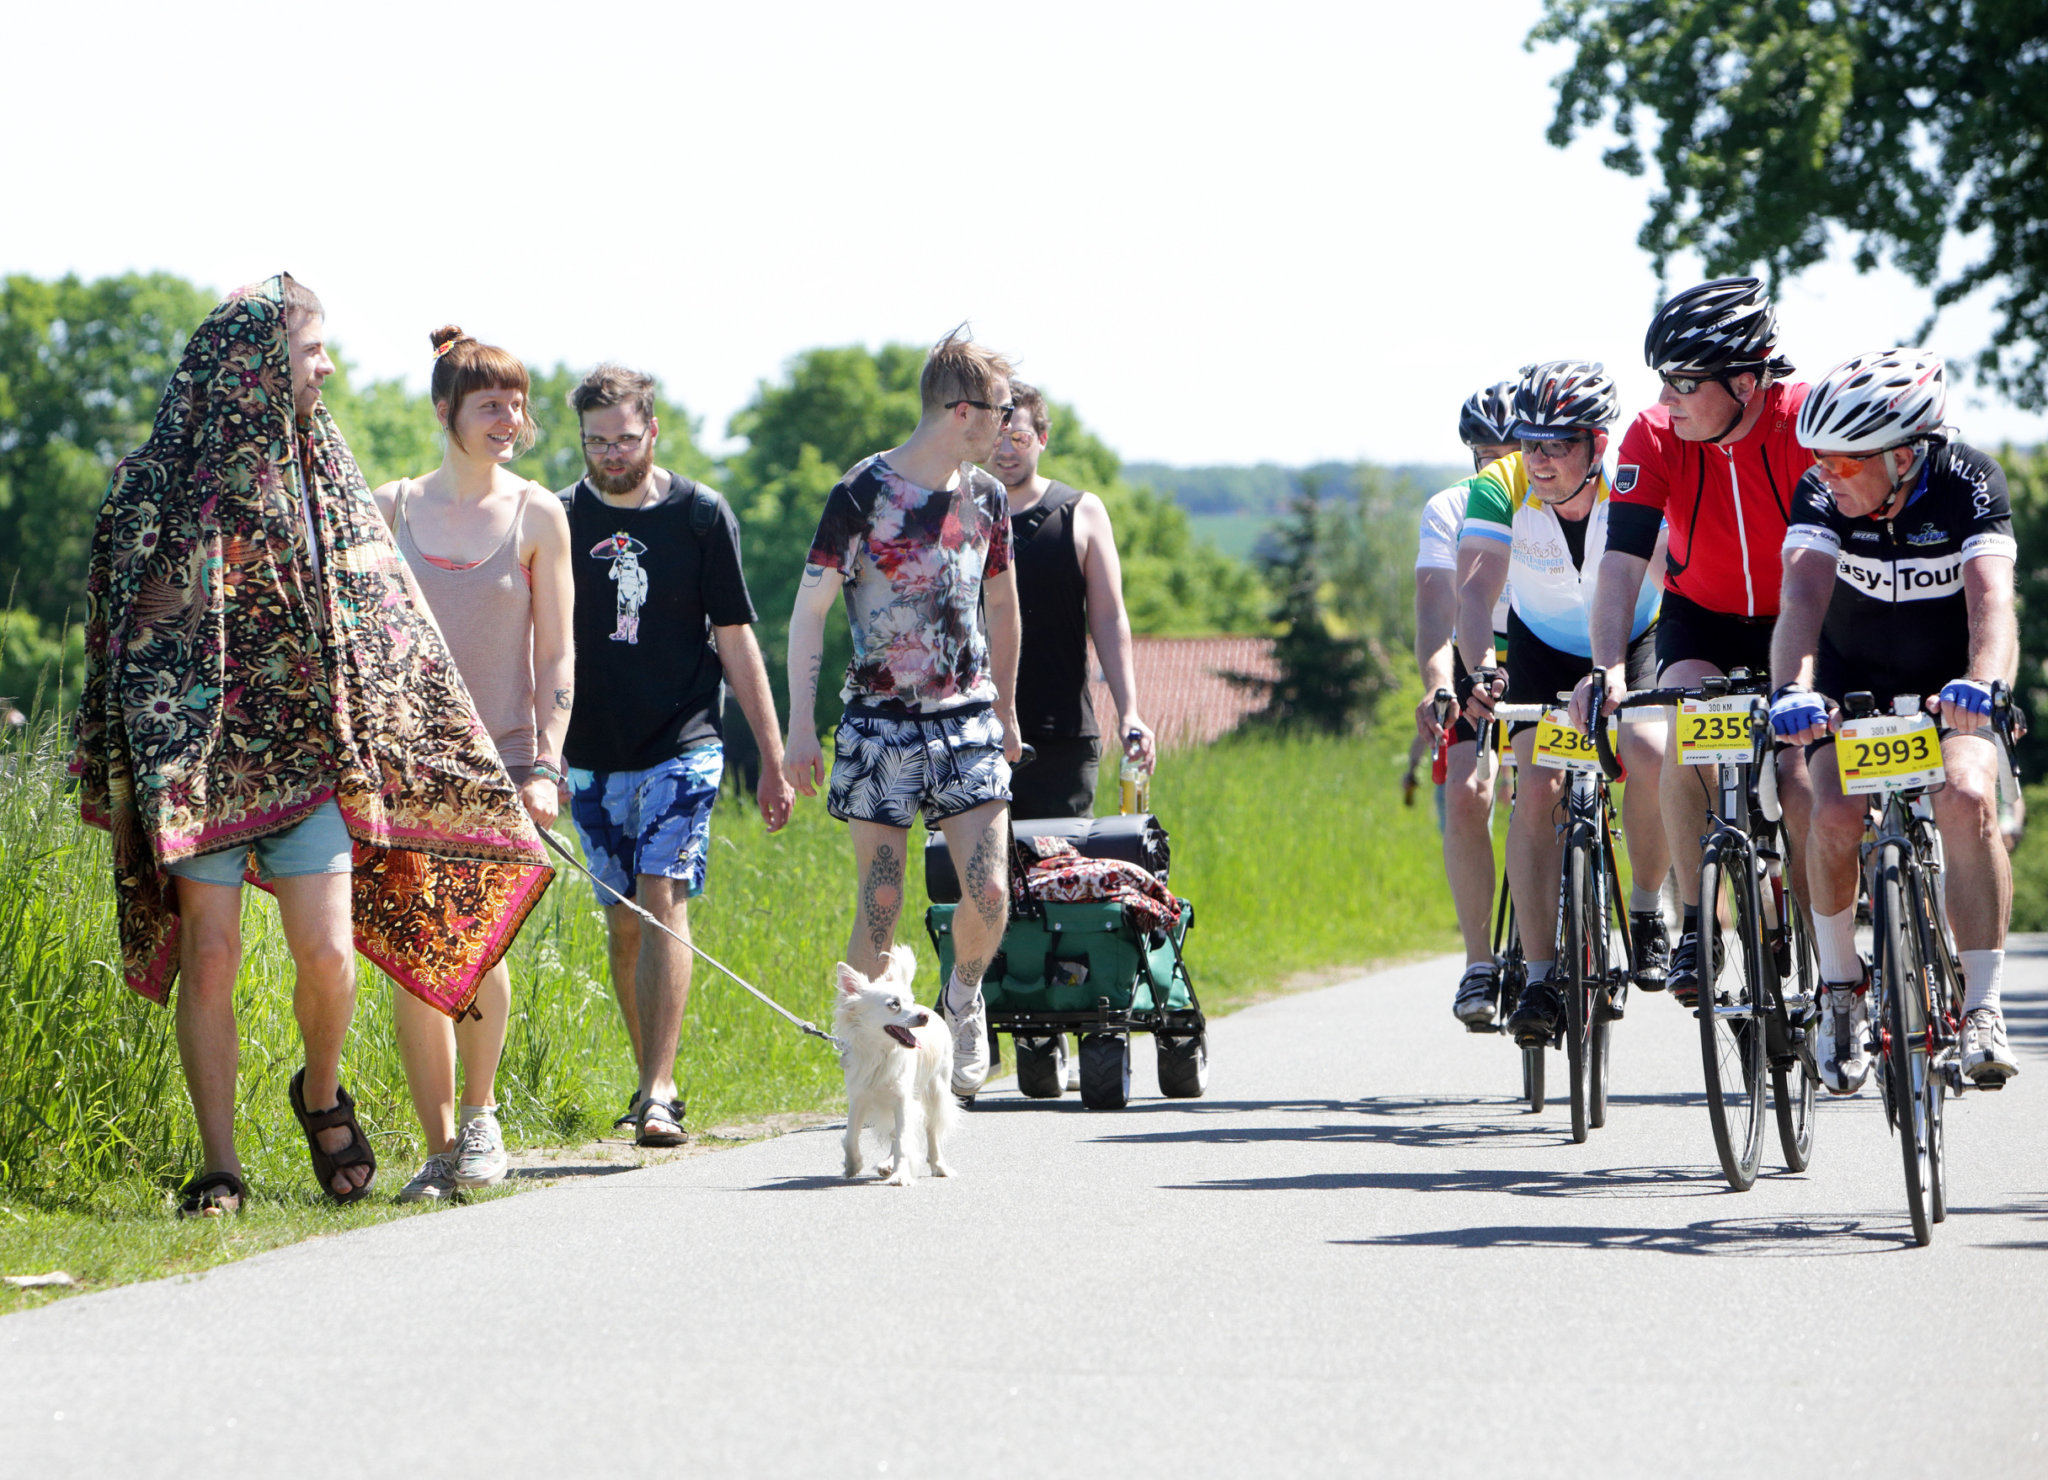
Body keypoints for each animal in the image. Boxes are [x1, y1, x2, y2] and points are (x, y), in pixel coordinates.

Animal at [831, 949, 958, 1195]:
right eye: (894, 1004)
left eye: (911, 1002)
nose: (923, 1016)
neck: (880, 1052)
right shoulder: (859, 1099)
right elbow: (851, 1136)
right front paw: (853, 1165)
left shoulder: (903, 1101)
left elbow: (903, 1140)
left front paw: (900, 1176)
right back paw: (887, 1164)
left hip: (936, 1090)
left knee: (932, 1132)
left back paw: (938, 1166)